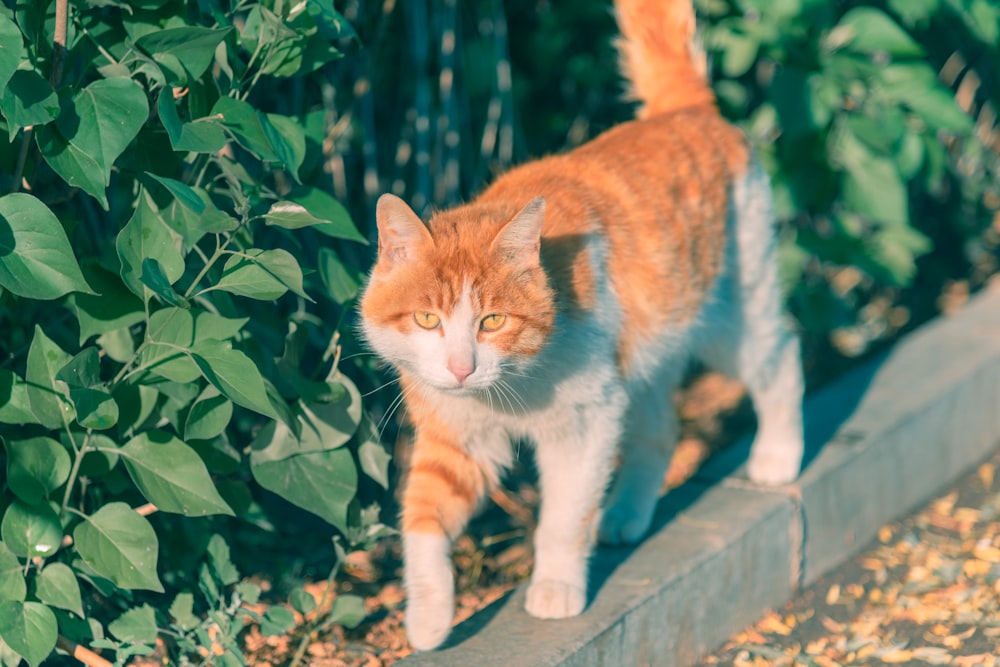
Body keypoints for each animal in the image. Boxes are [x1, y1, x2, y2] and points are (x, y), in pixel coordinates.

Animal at [360, 0, 804, 652]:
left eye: (492, 320)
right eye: (426, 319)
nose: (463, 367)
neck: (509, 388)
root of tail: (683, 111)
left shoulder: (586, 423)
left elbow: (564, 519)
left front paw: (555, 589)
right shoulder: (455, 437)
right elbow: (423, 519)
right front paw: (429, 617)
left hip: (732, 320)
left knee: (782, 357)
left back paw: (778, 456)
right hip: (645, 356)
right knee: (659, 430)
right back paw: (626, 514)